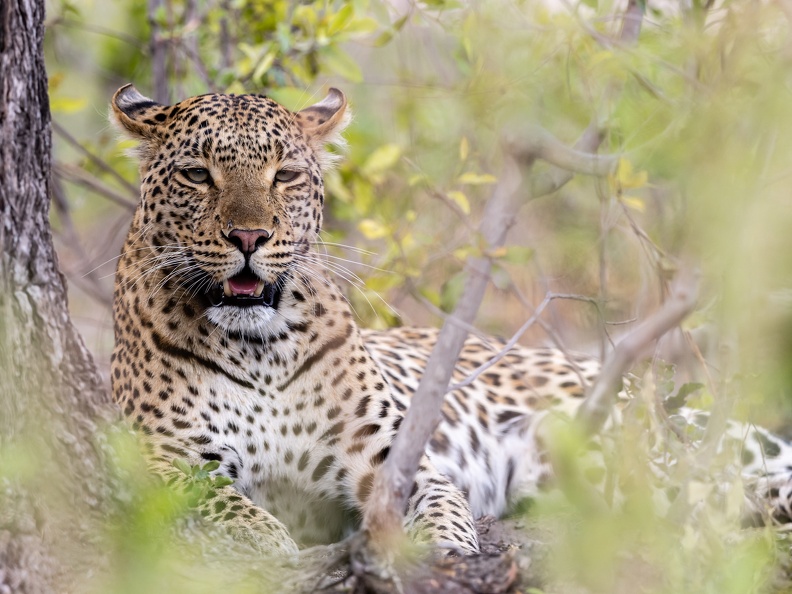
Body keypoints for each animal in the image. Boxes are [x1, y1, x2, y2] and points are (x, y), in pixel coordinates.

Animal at [109, 83, 792, 558]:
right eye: (197, 174)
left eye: (287, 175)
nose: (249, 236)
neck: (258, 347)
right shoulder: (165, 462)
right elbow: (234, 512)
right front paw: (272, 550)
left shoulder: (389, 455)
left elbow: (440, 507)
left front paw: (448, 553)